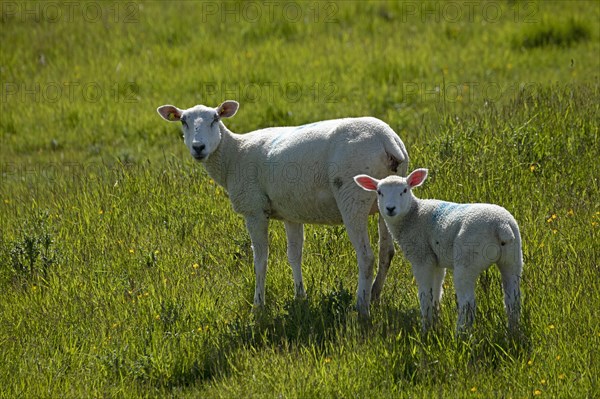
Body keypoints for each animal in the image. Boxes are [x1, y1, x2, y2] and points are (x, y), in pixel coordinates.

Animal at [155, 101, 410, 318]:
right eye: (183, 121)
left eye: (215, 119)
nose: (198, 148)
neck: (233, 155)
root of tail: (387, 140)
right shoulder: (291, 212)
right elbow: (294, 255)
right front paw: (300, 297)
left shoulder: (254, 209)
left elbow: (260, 259)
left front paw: (258, 306)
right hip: (387, 198)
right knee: (386, 252)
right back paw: (375, 295)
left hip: (351, 196)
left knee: (366, 257)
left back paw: (361, 308)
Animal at [354, 169, 524, 334]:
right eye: (379, 192)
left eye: (404, 190)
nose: (390, 209)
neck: (413, 215)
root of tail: (501, 226)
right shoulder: (436, 260)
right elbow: (436, 292)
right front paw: (435, 322)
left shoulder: (422, 256)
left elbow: (425, 295)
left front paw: (426, 329)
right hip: (513, 256)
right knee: (513, 299)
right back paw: (513, 332)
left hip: (468, 257)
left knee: (468, 303)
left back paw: (460, 334)